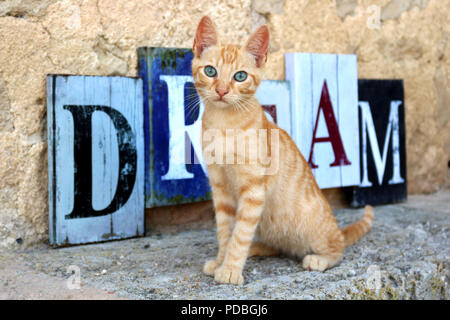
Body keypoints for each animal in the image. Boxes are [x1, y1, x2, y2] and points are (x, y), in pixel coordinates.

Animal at [192, 16, 374, 284]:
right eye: (210, 71)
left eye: (240, 76)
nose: (222, 91)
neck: (224, 123)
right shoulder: (220, 187)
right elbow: (227, 230)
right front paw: (221, 260)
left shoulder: (253, 189)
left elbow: (240, 232)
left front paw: (230, 269)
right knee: (280, 245)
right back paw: (257, 248)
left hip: (314, 229)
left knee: (337, 249)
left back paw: (319, 259)